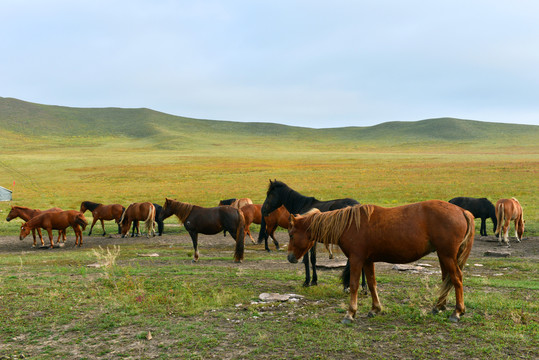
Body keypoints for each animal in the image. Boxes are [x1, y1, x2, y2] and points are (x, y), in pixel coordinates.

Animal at [288, 200, 474, 324]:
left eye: (291, 234)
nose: (290, 257)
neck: (348, 225)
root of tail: (462, 211)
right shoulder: (367, 261)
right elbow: (372, 284)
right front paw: (375, 309)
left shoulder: (356, 259)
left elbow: (354, 285)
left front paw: (350, 313)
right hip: (444, 256)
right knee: (446, 279)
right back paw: (439, 306)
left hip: (447, 256)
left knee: (456, 278)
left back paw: (457, 312)